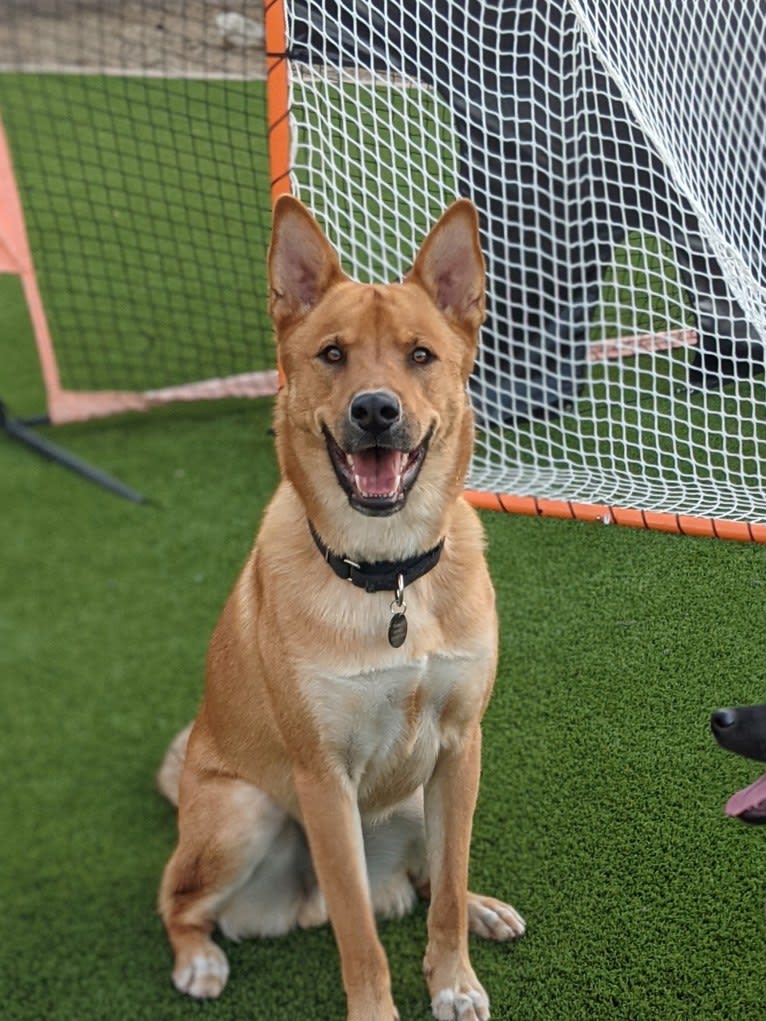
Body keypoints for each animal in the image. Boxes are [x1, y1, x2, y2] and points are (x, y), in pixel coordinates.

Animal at [158, 199, 527, 1021]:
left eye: (420, 355)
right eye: (332, 354)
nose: (376, 410)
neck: (388, 578)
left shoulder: (462, 745)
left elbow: (447, 889)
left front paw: (454, 980)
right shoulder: (324, 781)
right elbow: (358, 934)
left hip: (421, 795)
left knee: (431, 879)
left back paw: (483, 908)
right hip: (242, 815)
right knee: (177, 903)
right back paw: (198, 960)